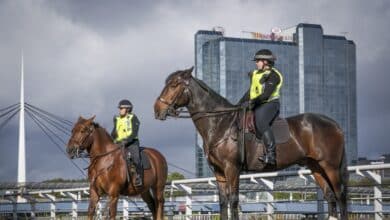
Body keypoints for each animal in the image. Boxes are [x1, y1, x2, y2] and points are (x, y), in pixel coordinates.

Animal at [154, 67, 348, 220]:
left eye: (174, 85)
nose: (157, 109)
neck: (220, 123)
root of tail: (335, 124)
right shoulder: (219, 171)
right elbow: (223, 201)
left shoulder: (232, 168)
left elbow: (233, 200)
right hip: (316, 167)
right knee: (330, 196)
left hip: (330, 166)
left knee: (340, 196)